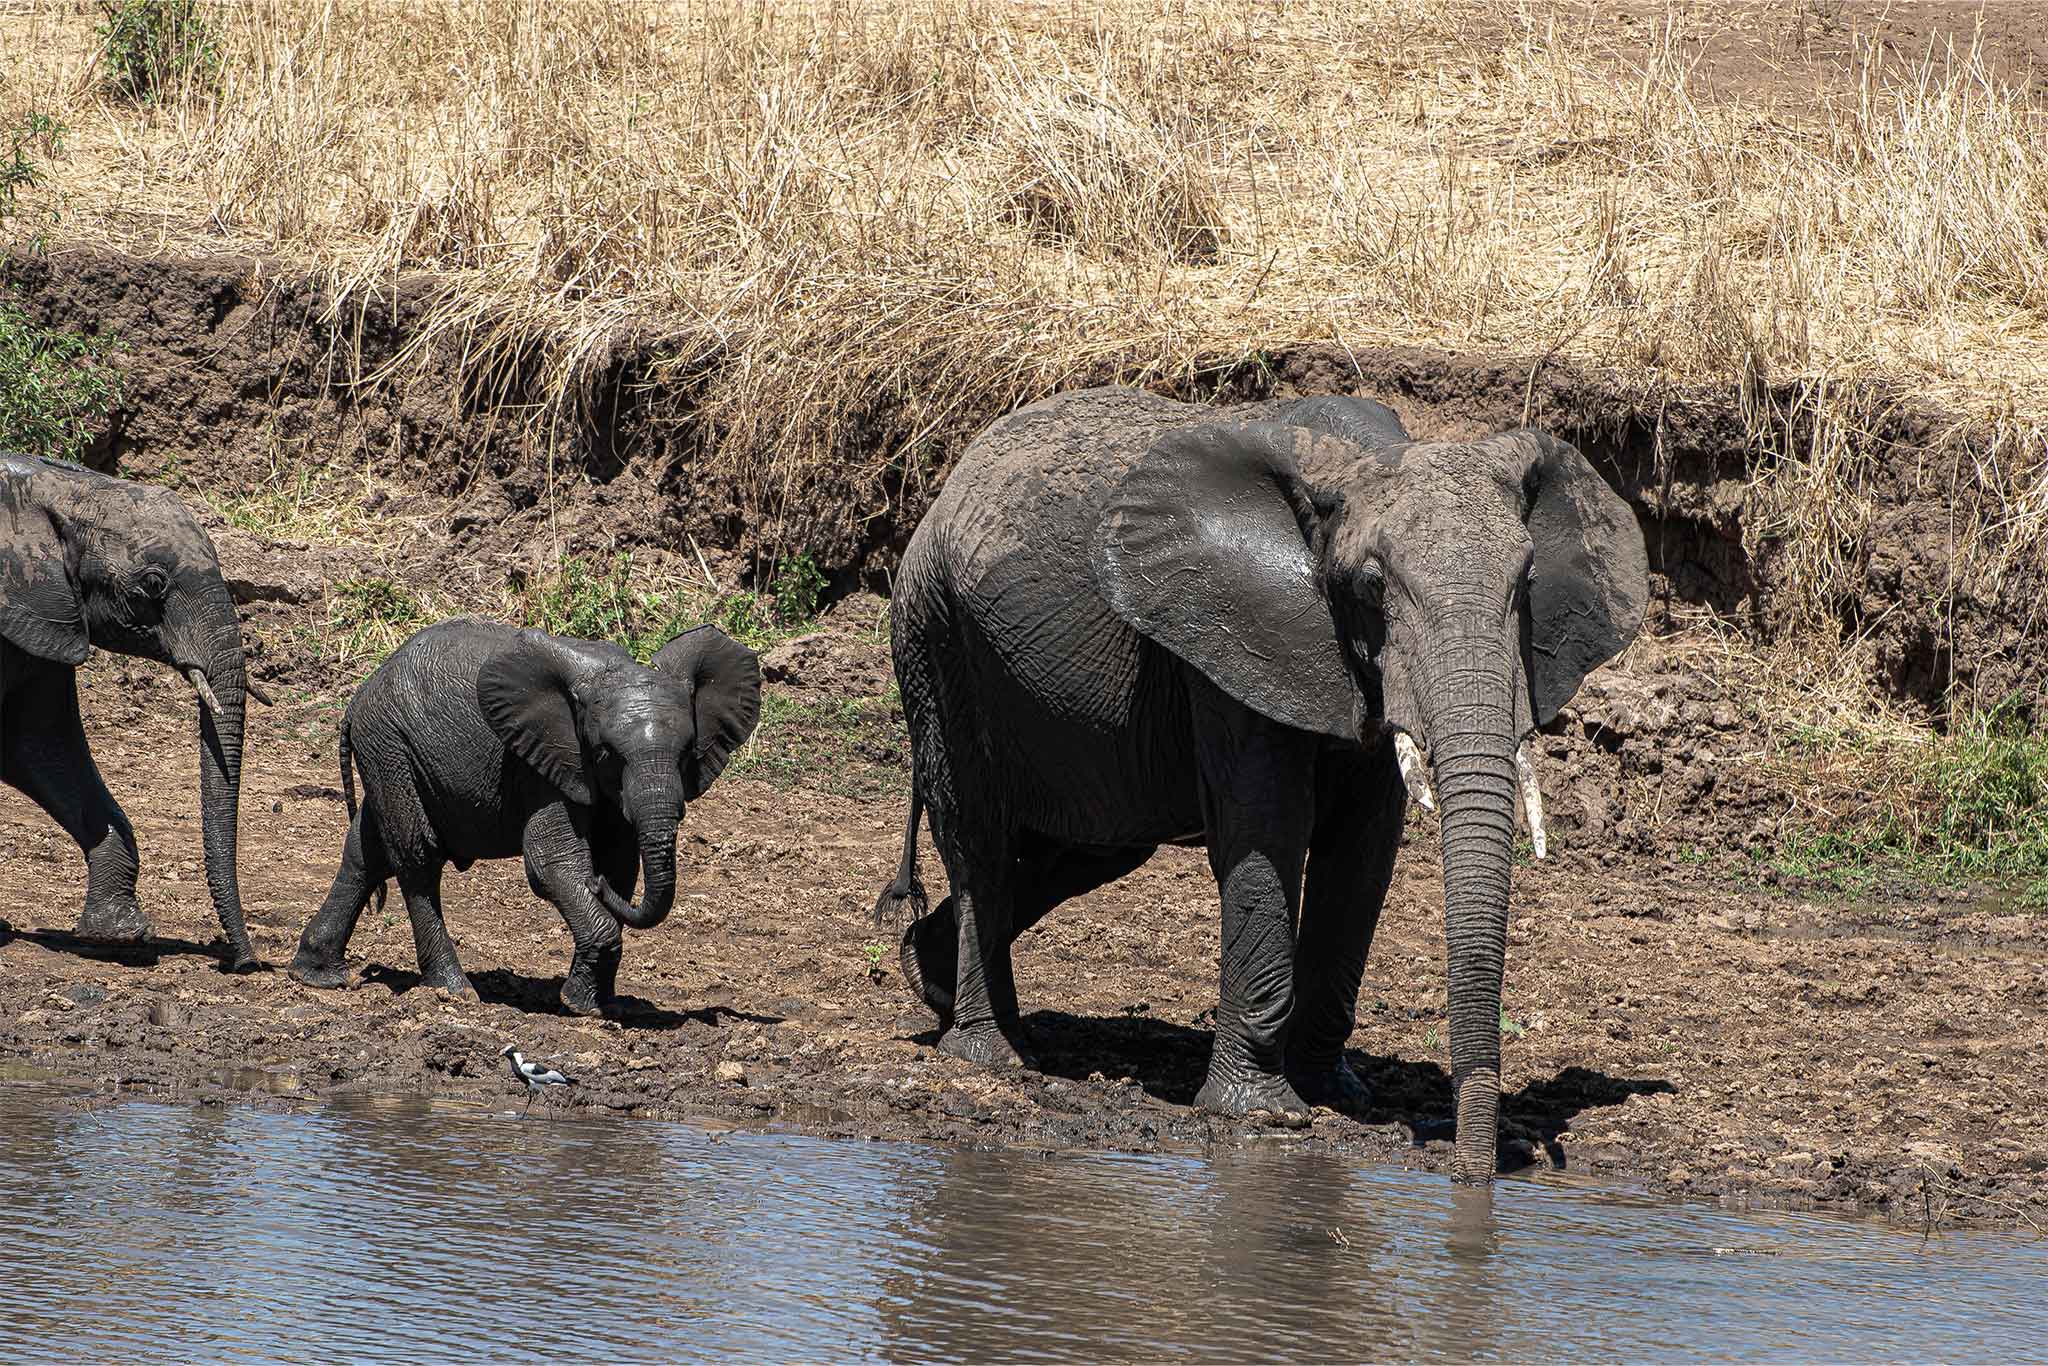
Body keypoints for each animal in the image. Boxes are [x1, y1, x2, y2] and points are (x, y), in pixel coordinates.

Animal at [0, 451, 258, 969]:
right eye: (154, 584)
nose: (244, 962)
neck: (58, 488)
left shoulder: (45, 615)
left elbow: (36, 746)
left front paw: (120, 934)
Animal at [288, 618, 762, 1016]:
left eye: (687, 752)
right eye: (606, 753)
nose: (596, 886)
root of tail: (357, 700)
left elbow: (620, 864)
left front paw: (599, 1003)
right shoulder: (541, 763)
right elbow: (551, 862)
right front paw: (582, 1007)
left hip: (389, 755)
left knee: (365, 852)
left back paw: (320, 976)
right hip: (391, 747)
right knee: (416, 857)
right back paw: (454, 990)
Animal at [872, 386, 1646, 1184]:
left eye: (1527, 583)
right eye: (1373, 585)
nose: (1473, 1170)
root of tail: (946, 490)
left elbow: (1363, 851)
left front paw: (1336, 1093)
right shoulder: (1232, 634)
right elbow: (1269, 828)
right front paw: (1263, 1115)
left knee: (1087, 848)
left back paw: (925, 976)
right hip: (934, 635)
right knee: (980, 841)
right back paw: (990, 1055)